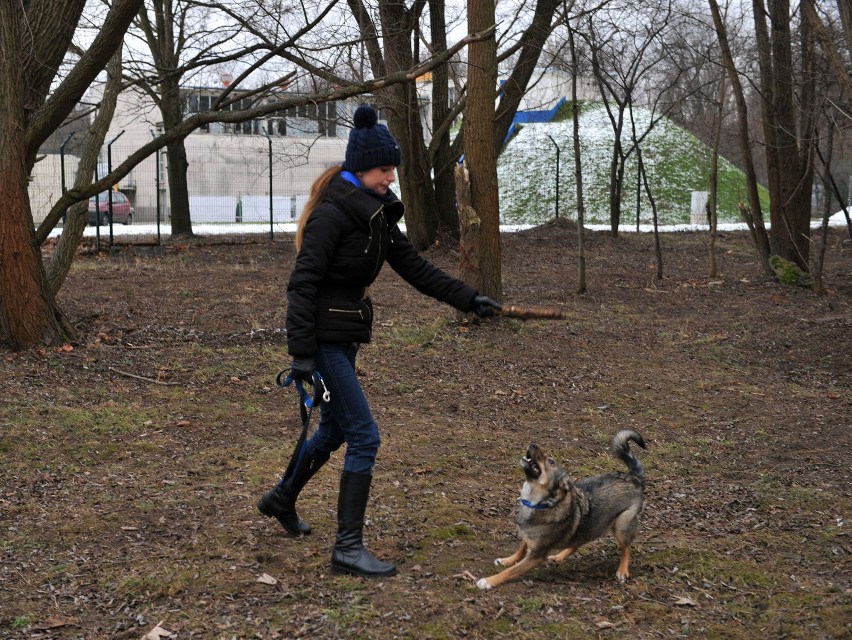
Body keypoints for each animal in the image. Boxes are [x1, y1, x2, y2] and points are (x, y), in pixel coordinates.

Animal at [480, 430, 644, 592]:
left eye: (551, 462)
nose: (533, 444)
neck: (538, 503)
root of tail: (633, 478)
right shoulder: (529, 537)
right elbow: (520, 550)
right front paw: (506, 560)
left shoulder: (536, 556)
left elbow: (511, 571)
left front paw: (489, 581)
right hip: (589, 528)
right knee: (577, 543)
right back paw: (559, 557)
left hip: (622, 525)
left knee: (626, 549)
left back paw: (622, 571)